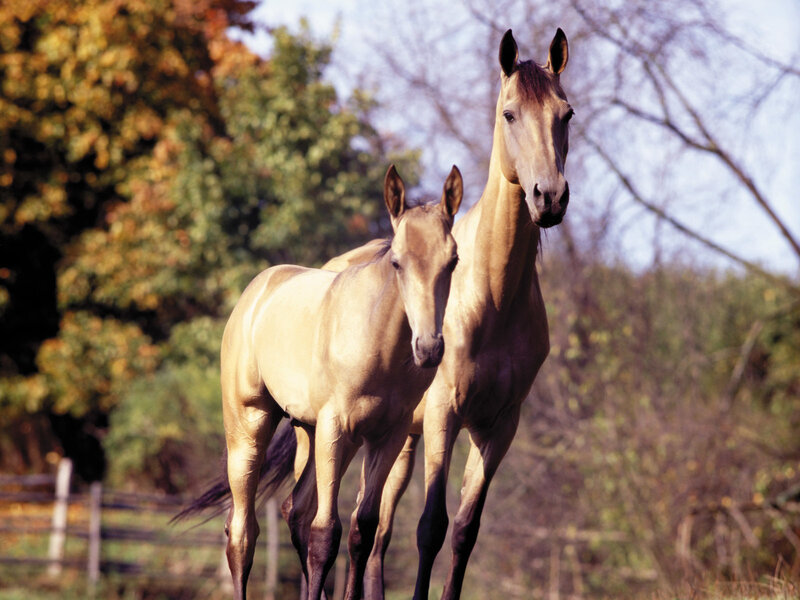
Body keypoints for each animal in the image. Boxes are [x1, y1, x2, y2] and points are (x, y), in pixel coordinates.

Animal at [203, 164, 462, 600]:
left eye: (454, 260)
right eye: (397, 262)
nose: (428, 348)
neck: (377, 343)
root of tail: (256, 292)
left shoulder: (386, 436)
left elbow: (362, 530)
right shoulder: (335, 427)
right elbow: (326, 534)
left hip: (313, 432)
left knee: (295, 511)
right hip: (251, 426)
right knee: (242, 532)